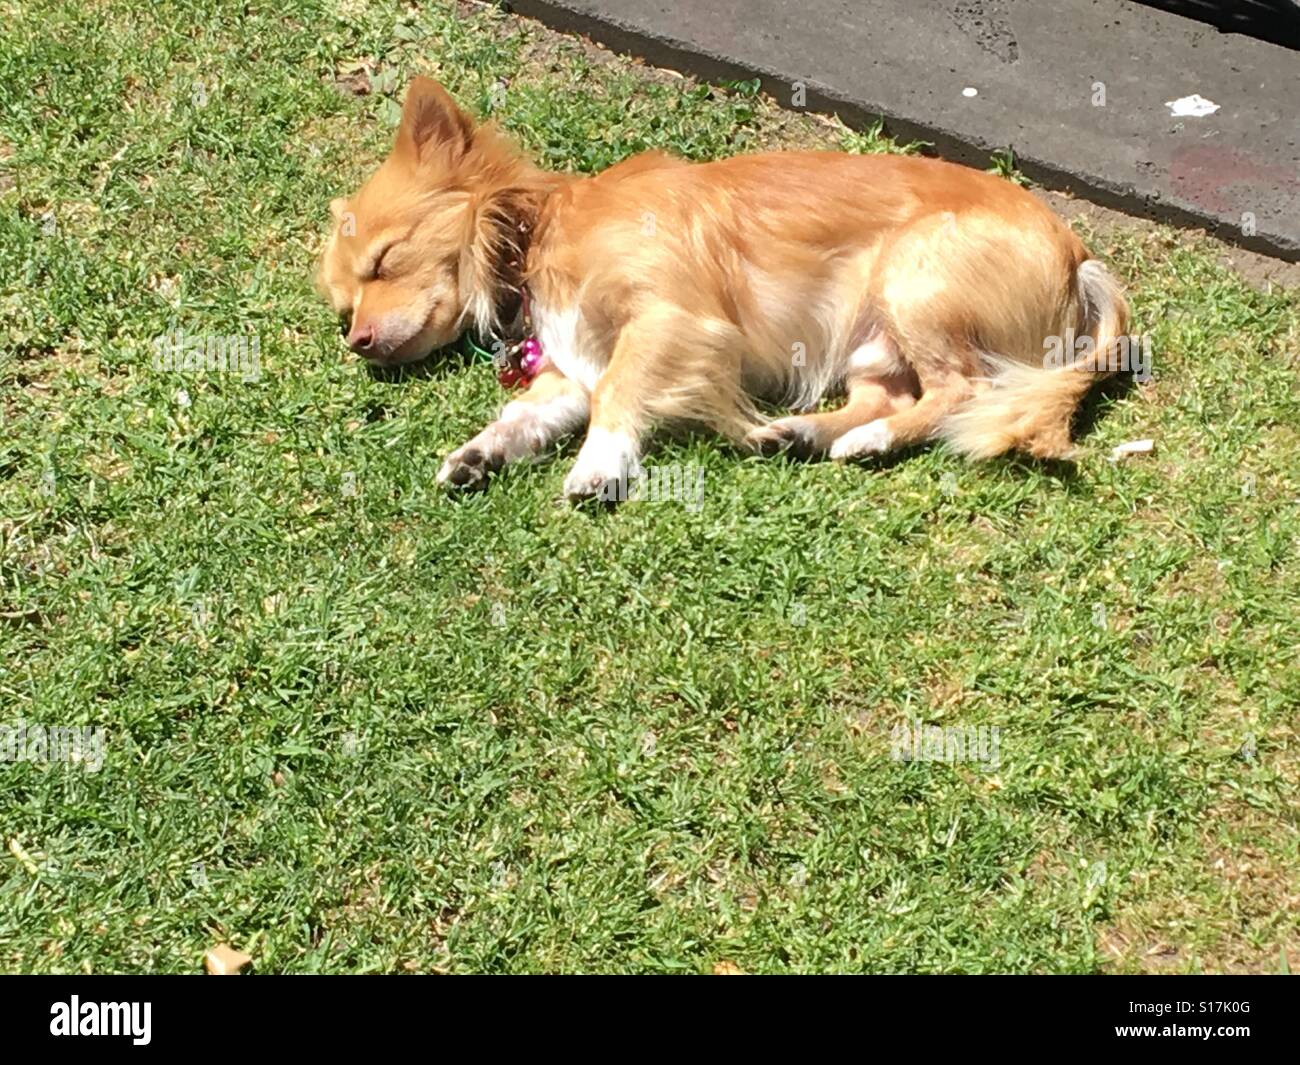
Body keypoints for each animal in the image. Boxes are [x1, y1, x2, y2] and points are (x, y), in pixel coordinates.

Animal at [317, 77, 1128, 501]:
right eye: (344, 307)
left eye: (385, 261)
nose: (356, 341)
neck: (538, 234)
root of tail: (1079, 254)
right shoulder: (574, 366)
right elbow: (527, 414)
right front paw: (481, 453)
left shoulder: (672, 321)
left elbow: (619, 394)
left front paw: (599, 464)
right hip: (871, 341)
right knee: (898, 397)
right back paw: (810, 433)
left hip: (913, 276)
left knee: (961, 388)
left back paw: (856, 437)